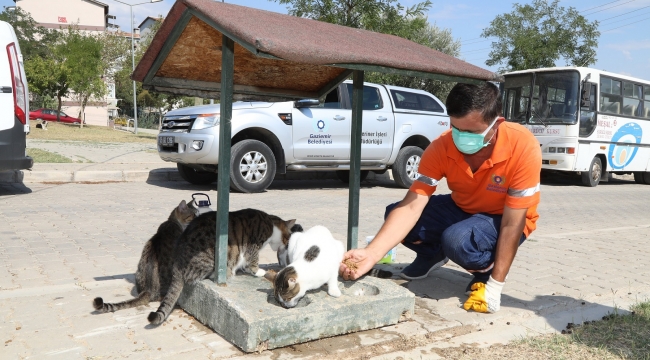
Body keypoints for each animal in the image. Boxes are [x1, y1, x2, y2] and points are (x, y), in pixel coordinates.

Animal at [148, 207, 298, 324]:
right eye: (288, 238)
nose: (286, 245)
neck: (272, 225)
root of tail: (177, 267)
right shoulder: (253, 245)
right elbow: (253, 260)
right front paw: (258, 271)